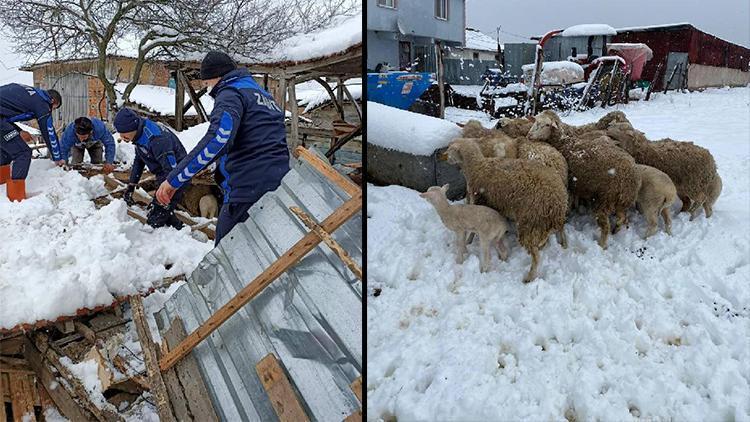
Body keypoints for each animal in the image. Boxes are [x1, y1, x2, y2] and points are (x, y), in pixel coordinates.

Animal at [444, 139, 568, 284]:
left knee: (536, 256)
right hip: (544, 222)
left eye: (450, 148)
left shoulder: (480, 202)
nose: (445, 158)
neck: (476, 167)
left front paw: (469, 241)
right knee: (559, 232)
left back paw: (529, 277)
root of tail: (557, 202)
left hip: (531, 222)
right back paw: (562, 245)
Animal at [524, 110, 644, 249]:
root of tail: (632, 178)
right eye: (535, 121)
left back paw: (601, 245)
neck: (564, 142)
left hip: (605, 199)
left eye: (547, 125)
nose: (529, 135)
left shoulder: (570, 186)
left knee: (606, 227)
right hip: (622, 201)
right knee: (622, 218)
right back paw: (616, 230)